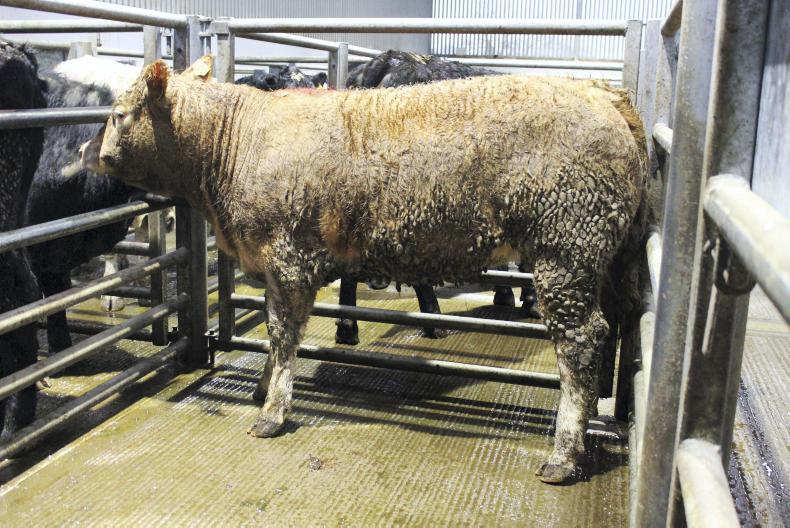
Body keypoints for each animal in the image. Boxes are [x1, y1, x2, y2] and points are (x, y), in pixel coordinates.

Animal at [81, 59, 648, 484]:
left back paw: (564, 454)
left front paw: (272, 411)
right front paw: (262, 389)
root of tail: (602, 92)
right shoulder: (275, 264)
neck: (234, 145)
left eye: (120, 114)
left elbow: (283, 333)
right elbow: (273, 330)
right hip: (596, 259)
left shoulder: (288, 256)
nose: (90, 151)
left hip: (565, 249)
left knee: (580, 342)